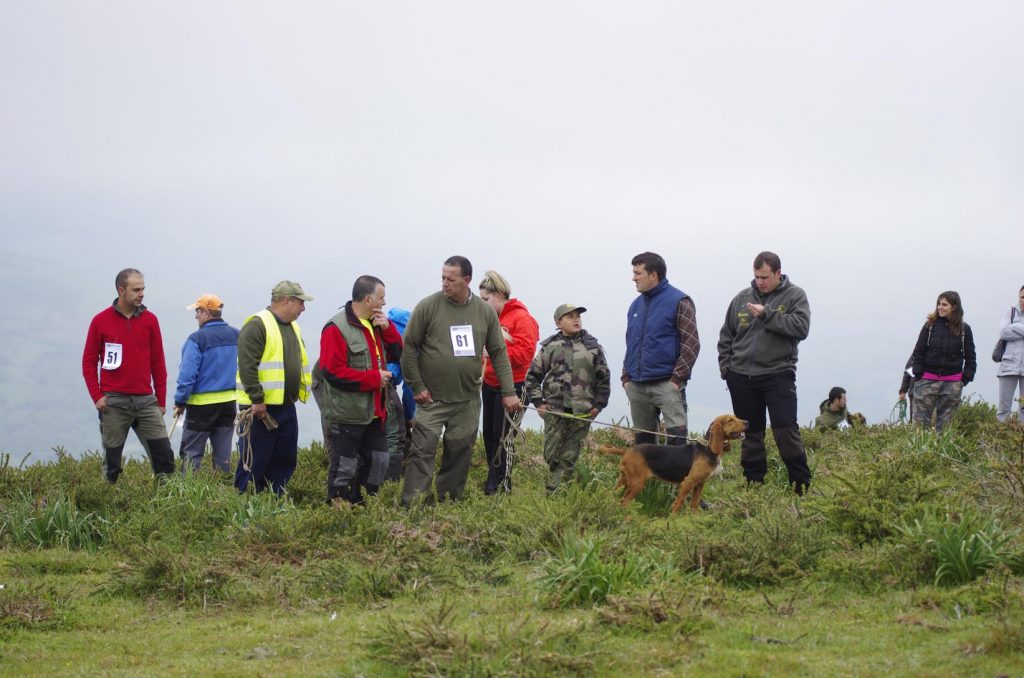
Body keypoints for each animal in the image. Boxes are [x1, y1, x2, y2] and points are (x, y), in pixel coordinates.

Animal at [598, 413, 749, 516]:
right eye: (730, 420)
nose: (747, 422)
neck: (707, 448)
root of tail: (628, 450)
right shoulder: (688, 482)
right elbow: (678, 503)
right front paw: (673, 519)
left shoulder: (700, 484)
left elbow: (694, 504)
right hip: (637, 483)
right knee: (624, 502)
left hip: (623, 481)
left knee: (615, 496)